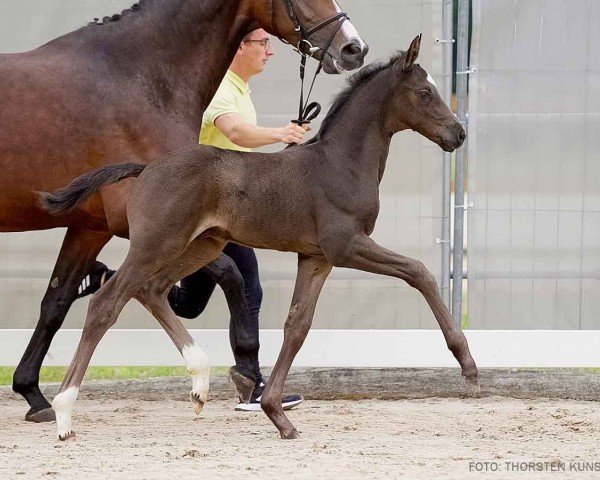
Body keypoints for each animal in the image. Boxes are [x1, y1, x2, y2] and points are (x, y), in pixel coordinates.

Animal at [0, 0, 368, 420]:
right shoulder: (149, 224)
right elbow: (231, 275)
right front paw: (246, 373)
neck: (141, 80)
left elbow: (55, 303)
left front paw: (32, 394)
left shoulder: (91, 226)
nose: (354, 48)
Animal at [41, 35, 478, 440]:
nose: (458, 134)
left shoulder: (316, 258)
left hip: (202, 245)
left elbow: (297, 325)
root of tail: (146, 168)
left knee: (151, 290)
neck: (340, 163)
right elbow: (419, 271)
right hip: (156, 244)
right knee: (107, 303)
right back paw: (63, 413)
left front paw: (277, 415)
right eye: (425, 93)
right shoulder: (346, 246)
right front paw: (469, 368)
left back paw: (199, 385)